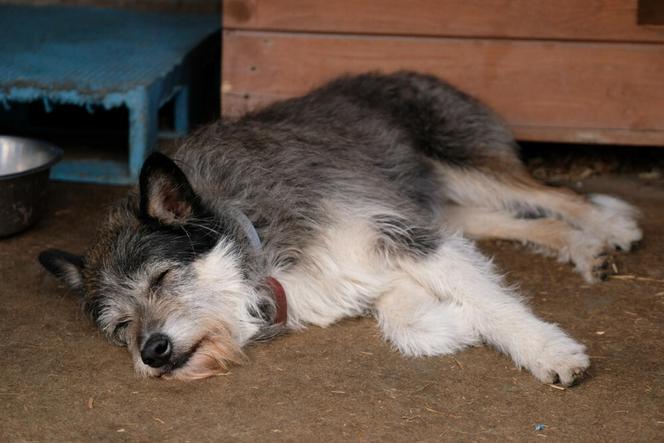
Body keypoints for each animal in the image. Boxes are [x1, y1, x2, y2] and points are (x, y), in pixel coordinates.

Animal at [39, 72, 640, 386]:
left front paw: (548, 352)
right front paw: (452, 322)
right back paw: (585, 247)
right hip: (442, 200)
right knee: (520, 219)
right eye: (120, 326)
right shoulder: (390, 244)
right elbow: (408, 322)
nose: (153, 352)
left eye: (162, 278)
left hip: (463, 164)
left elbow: (492, 302)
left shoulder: (399, 231)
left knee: (556, 195)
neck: (259, 246)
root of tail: (415, 72)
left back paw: (611, 224)